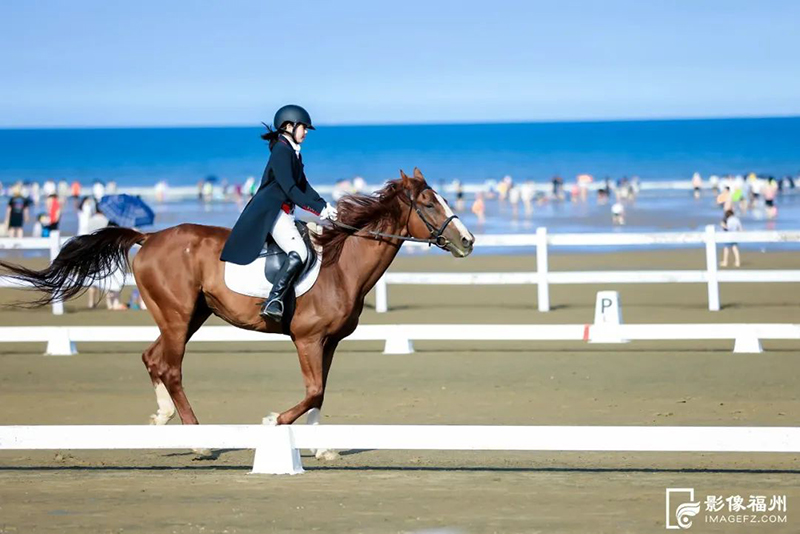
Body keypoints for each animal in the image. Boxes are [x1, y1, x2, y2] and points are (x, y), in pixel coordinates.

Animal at [0, 169, 474, 457]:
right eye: (428, 203)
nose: (467, 242)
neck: (342, 265)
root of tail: (149, 238)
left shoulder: (329, 343)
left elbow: (320, 393)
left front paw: (322, 446)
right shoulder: (307, 339)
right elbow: (312, 391)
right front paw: (272, 422)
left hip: (188, 316)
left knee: (153, 358)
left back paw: (162, 418)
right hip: (177, 316)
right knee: (169, 366)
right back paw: (199, 440)